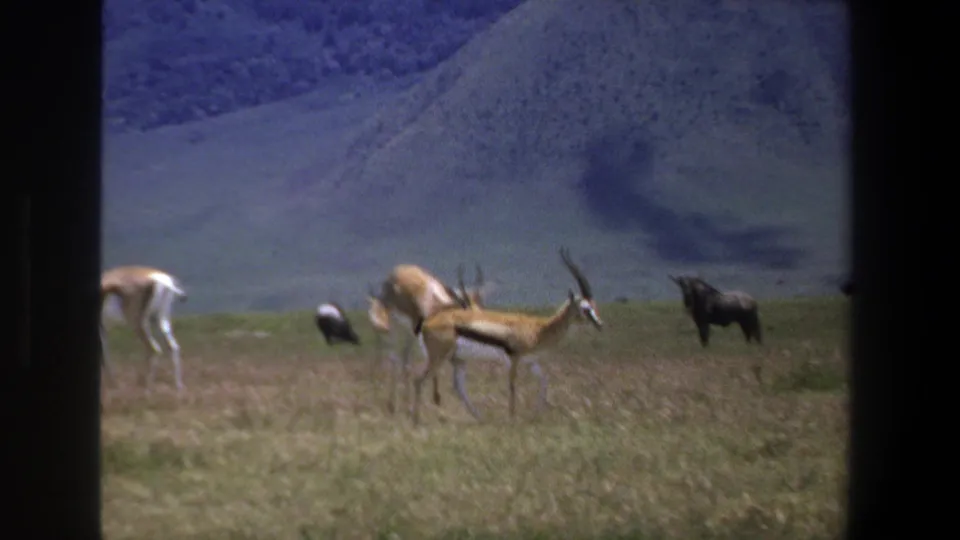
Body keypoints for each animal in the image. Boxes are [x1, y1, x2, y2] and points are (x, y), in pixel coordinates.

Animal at [366, 263, 488, 414]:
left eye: (480, 310)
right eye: (468, 315)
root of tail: (397, 271)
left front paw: (436, 398)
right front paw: (433, 399)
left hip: (409, 333)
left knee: (405, 357)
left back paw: (406, 403)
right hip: (395, 325)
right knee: (394, 357)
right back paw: (392, 405)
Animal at [411, 247, 603, 426]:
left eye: (594, 305)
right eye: (585, 308)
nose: (600, 324)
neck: (538, 329)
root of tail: (427, 322)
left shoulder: (531, 361)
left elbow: (544, 381)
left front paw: (536, 415)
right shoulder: (514, 359)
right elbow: (512, 385)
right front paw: (512, 418)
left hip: (458, 359)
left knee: (458, 387)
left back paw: (480, 418)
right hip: (438, 357)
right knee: (418, 379)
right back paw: (416, 421)